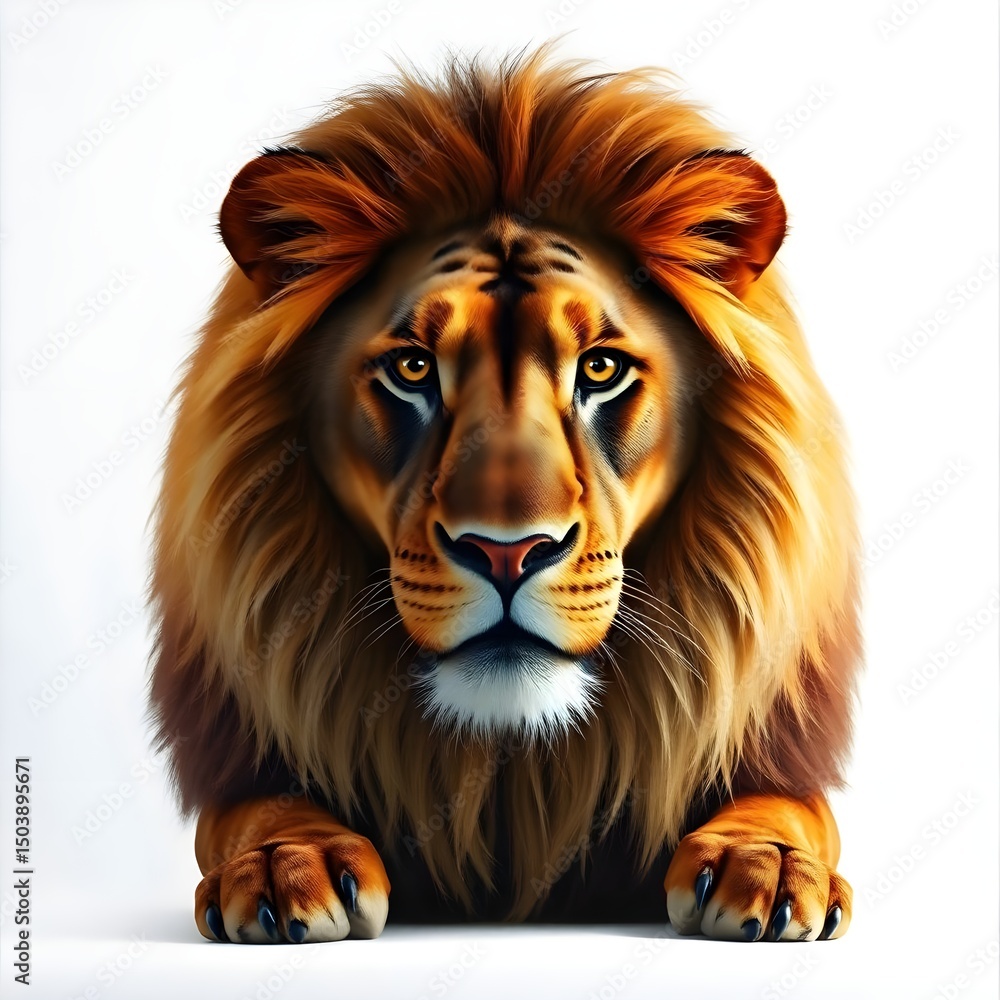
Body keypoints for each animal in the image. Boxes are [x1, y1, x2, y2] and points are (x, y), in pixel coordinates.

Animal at [149, 46, 860, 945]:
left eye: (600, 367)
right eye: (413, 367)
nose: (507, 552)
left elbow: (791, 806)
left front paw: (764, 863)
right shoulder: (246, 762)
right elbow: (259, 805)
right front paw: (287, 863)